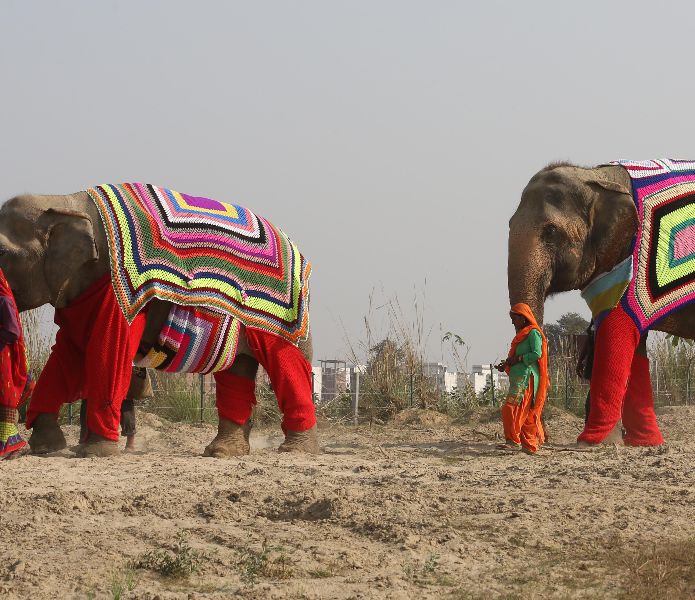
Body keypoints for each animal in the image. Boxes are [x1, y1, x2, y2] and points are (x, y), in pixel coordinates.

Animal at [0, 185, 318, 457]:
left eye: (2, 252)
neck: (65, 200)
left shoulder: (117, 288)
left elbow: (107, 349)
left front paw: (94, 453)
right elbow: (67, 353)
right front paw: (46, 448)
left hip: (284, 313)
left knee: (288, 363)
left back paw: (295, 449)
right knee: (237, 370)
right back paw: (222, 452)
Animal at [508, 160, 695, 446]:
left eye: (551, 231)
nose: (542, 439)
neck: (597, 176)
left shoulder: (631, 264)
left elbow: (617, 332)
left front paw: (592, 443)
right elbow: (635, 342)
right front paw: (644, 443)